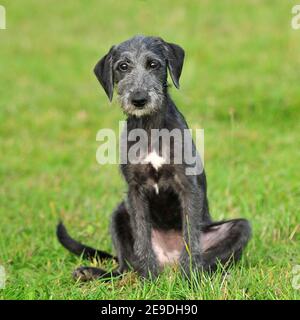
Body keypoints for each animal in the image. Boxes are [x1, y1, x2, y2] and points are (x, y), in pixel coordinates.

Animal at [56, 34, 251, 280]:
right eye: (123, 66)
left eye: (153, 64)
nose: (139, 99)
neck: (150, 128)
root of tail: (169, 261)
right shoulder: (135, 190)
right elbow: (141, 235)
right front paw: (148, 278)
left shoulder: (188, 185)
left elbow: (191, 237)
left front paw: (189, 278)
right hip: (118, 214)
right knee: (124, 267)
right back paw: (95, 272)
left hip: (239, 228)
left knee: (212, 258)